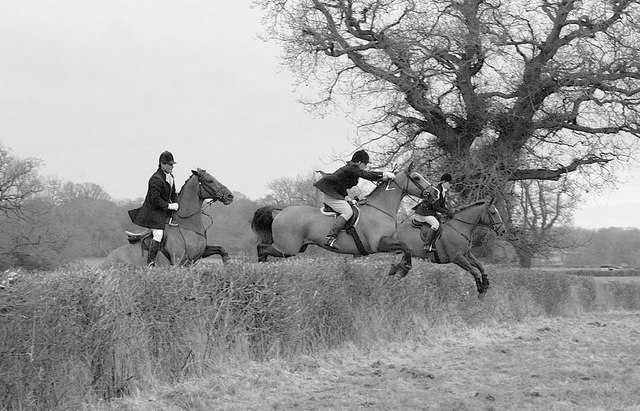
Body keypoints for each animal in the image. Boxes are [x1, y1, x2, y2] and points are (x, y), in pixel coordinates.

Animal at [102, 169, 235, 268]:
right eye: (210, 180)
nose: (230, 196)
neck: (186, 225)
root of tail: (106, 260)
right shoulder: (180, 262)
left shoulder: (199, 253)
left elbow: (221, 249)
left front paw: (228, 262)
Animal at [250, 166, 430, 278]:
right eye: (416, 177)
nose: (433, 192)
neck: (380, 209)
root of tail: (282, 211)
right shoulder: (379, 244)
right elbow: (406, 247)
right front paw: (402, 271)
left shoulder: (388, 244)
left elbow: (406, 249)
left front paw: (398, 268)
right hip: (288, 248)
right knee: (261, 248)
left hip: (297, 248)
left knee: (263, 249)